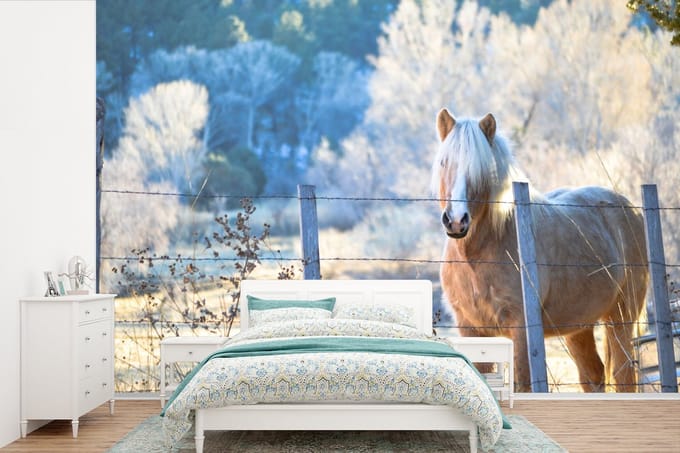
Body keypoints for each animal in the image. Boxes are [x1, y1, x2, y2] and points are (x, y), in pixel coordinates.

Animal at [431, 108, 649, 392]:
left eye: (482, 170)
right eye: (444, 162)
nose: (457, 221)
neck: (477, 258)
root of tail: (631, 209)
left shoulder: (521, 330)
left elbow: (523, 384)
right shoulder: (470, 329)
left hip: (621, 318)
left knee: (624, 377)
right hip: (579, 326)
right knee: (593, 374)